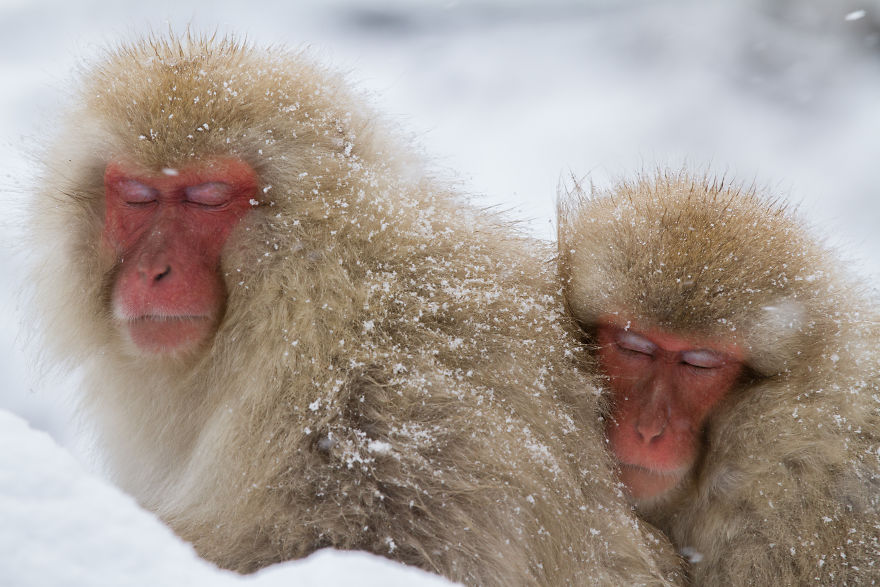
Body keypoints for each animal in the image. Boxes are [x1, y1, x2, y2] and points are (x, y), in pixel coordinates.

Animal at [28, 34, 682, 586]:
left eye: (206, 198)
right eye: (139, 197)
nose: (153, 273)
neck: (302, 280)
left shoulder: (363, 391)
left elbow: (379, 541)